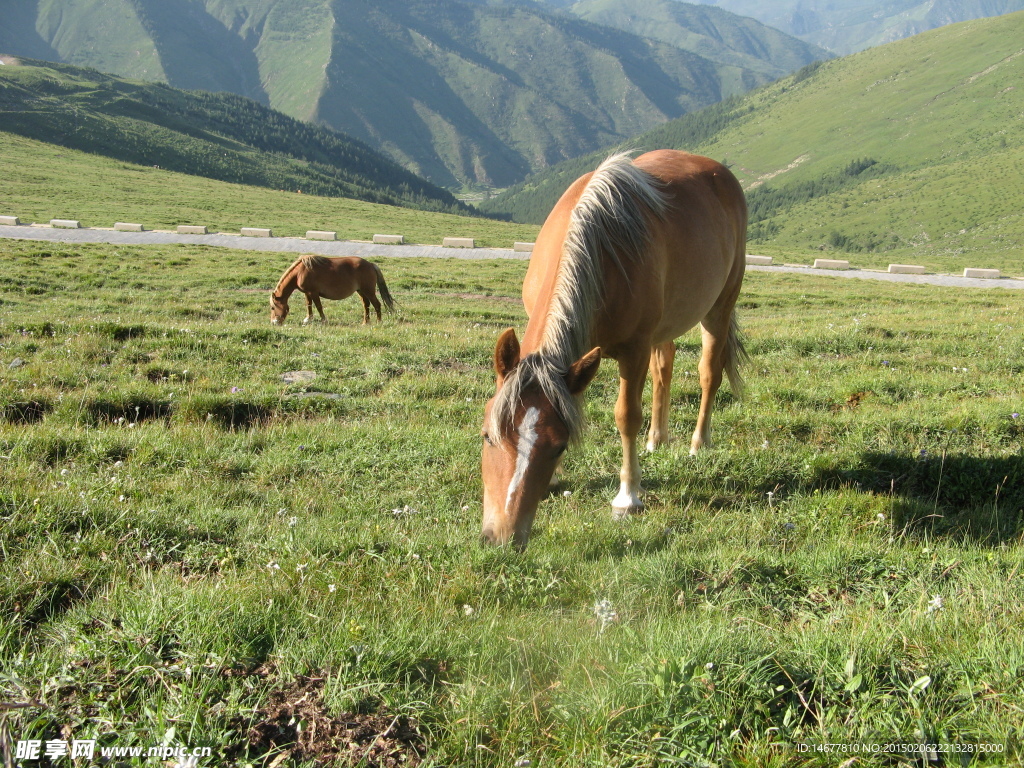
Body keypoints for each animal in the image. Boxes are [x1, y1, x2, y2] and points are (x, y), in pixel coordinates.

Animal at [479, 148, 753, 548]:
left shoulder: (633, 351)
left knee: (709, 374)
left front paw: (628, 497)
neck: (598, 251)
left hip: (718, 308)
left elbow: (627, 417)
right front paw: (557, 479)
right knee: (664, 367)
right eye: (487, 436)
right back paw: (657, 439)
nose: (503, 536)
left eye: (559, 446)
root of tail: (720, 173)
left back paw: (697, 443)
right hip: (665, 326)